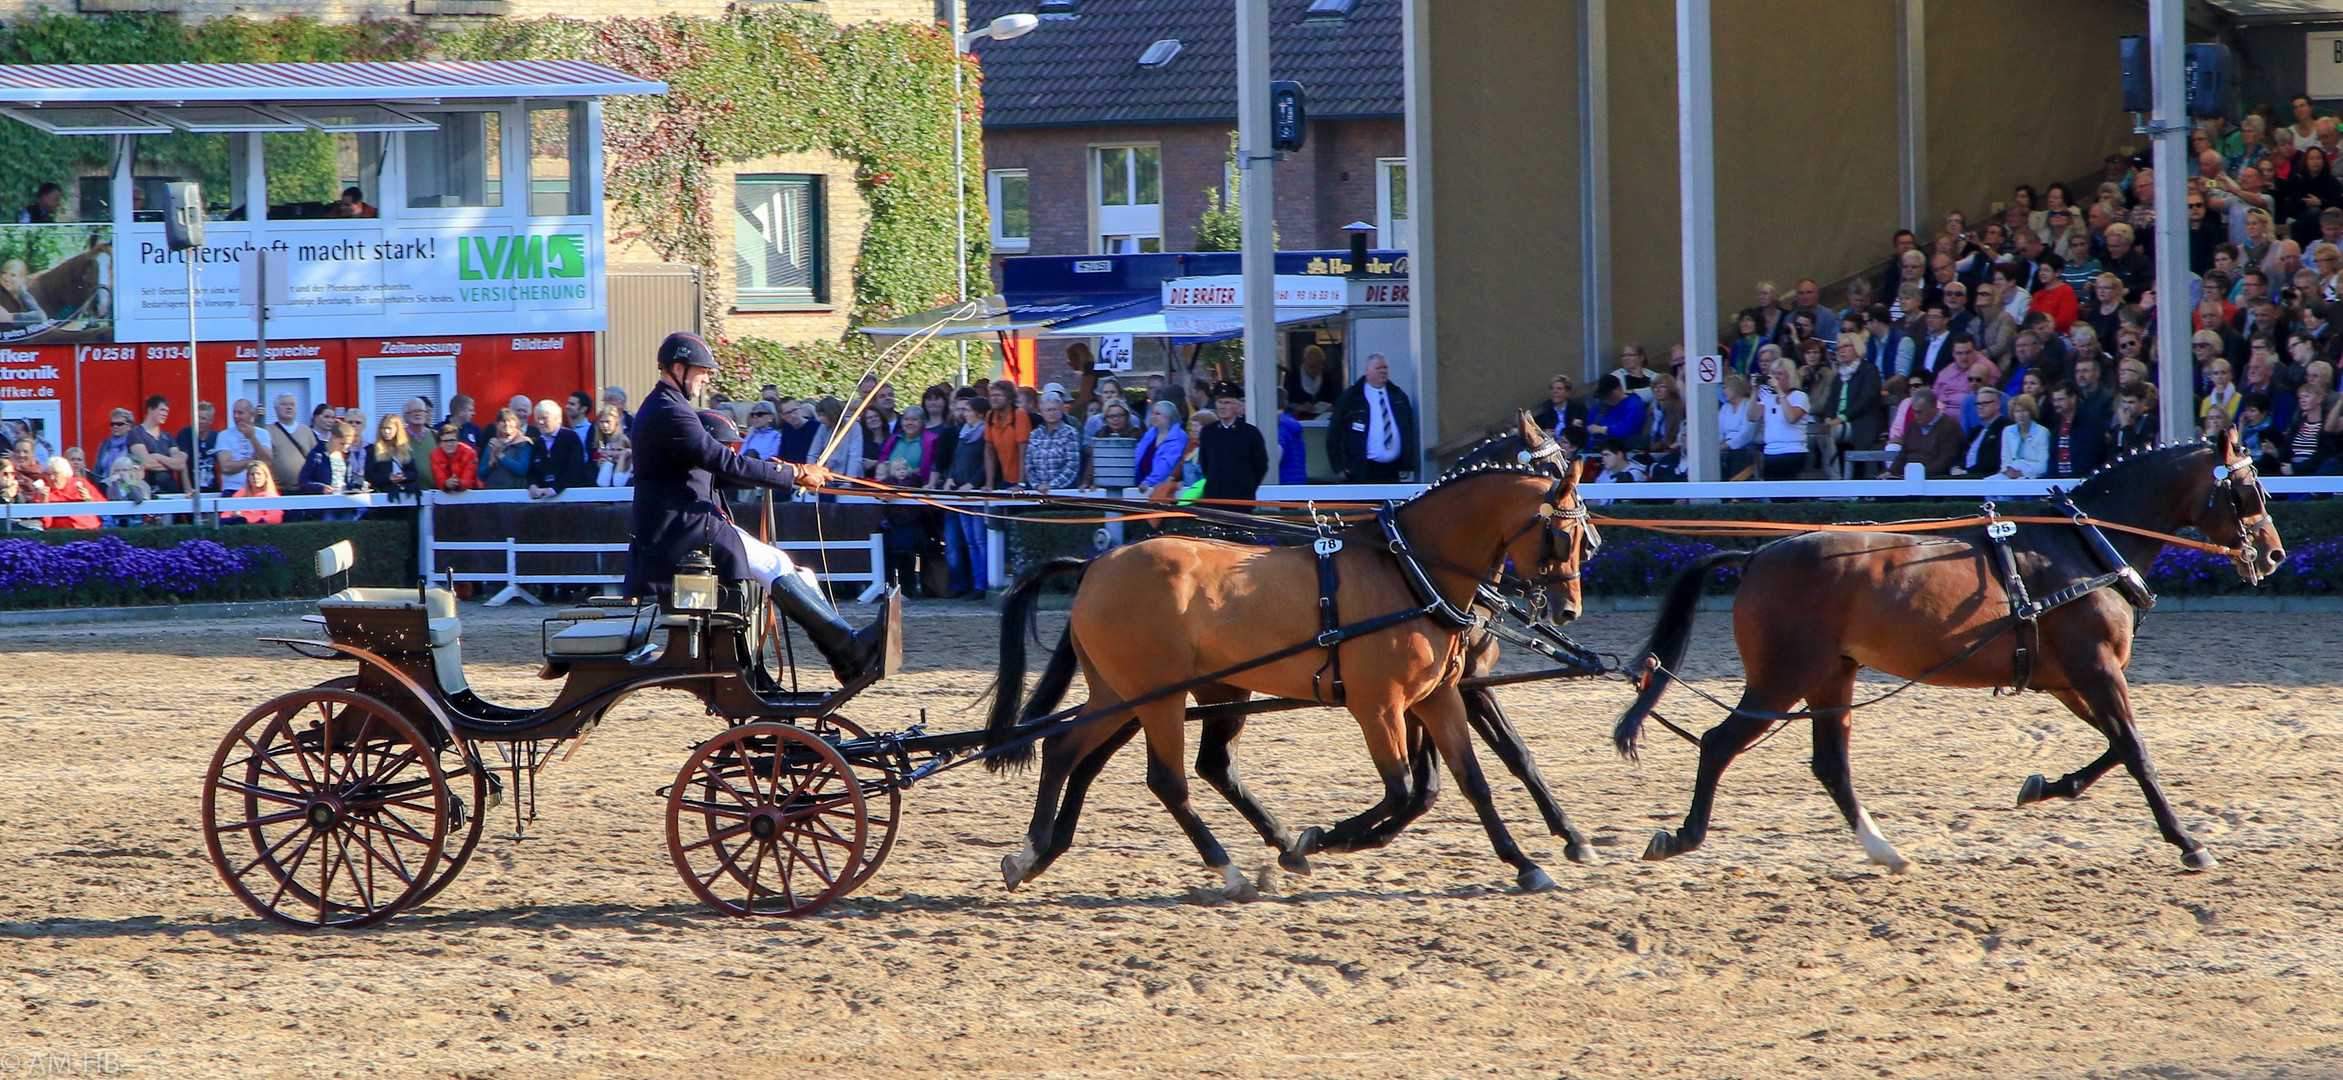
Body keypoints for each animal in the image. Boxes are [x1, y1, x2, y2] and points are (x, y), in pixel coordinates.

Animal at [979, 409, 1602, 890]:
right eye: (1561, 531)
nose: (1569, 607)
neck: (1410, 569)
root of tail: (1096, 564)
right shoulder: (1378, 705)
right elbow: (1404, 789)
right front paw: (1322, 838)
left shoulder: (1438, 696)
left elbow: (1471, 780)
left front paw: (1526, 862)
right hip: (1157, 696)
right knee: (1167, 779)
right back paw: (1228, 868)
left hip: (1131, 692)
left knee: (1071, 751)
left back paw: (1034, 852)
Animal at [1611, 433, 2286, 871]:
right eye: (2248, 490)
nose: (2274, 554)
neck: (2086, 550)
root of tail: (1756, 555)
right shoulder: (2096, 671)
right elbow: (2136, 752)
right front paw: (2188, 842)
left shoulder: (2072, 680)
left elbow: (2114, 751)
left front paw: (2046, 785)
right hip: (1783, 678)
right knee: (1719, 743)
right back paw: (1684, 836)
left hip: (1832, 677)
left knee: (1830, 765)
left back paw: (1883, 850)